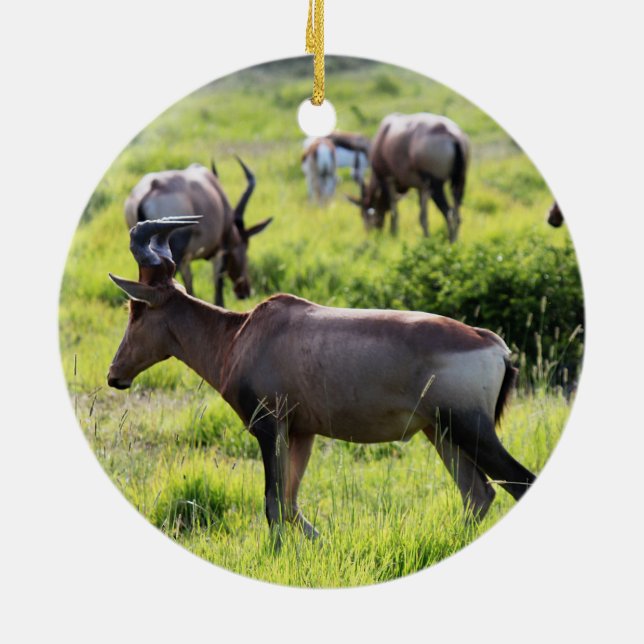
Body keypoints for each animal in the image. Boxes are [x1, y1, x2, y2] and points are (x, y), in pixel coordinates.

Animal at [108, 217, 536, 546]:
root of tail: (493, 343)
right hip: (441, 433)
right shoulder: (302, 432)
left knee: (516, 483)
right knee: (477, 494)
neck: (242, 333)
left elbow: (273, 503)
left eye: (136, 308)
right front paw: (324, 545)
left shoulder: (269, 427)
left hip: (470, 429)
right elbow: (290, 503)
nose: (115, 375)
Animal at [124, 158, 272, 308]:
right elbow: (218, 288)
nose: (245, 292)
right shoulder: (221, 250)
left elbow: (189, 286)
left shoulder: (185, 260)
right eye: (245, 247)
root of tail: (152, 188)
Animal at [347, 112, 470, 240]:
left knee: (448, 213)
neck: (385, 133)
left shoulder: (388, 179)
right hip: (460, 181)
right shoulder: (422, 187)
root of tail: (452, 135)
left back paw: (451, 241)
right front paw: (426, 238)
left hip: (436, 185)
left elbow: (394, 210)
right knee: (457, 214)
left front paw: (394, 234)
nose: (371, 234)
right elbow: (423, 216)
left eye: (363, 212)